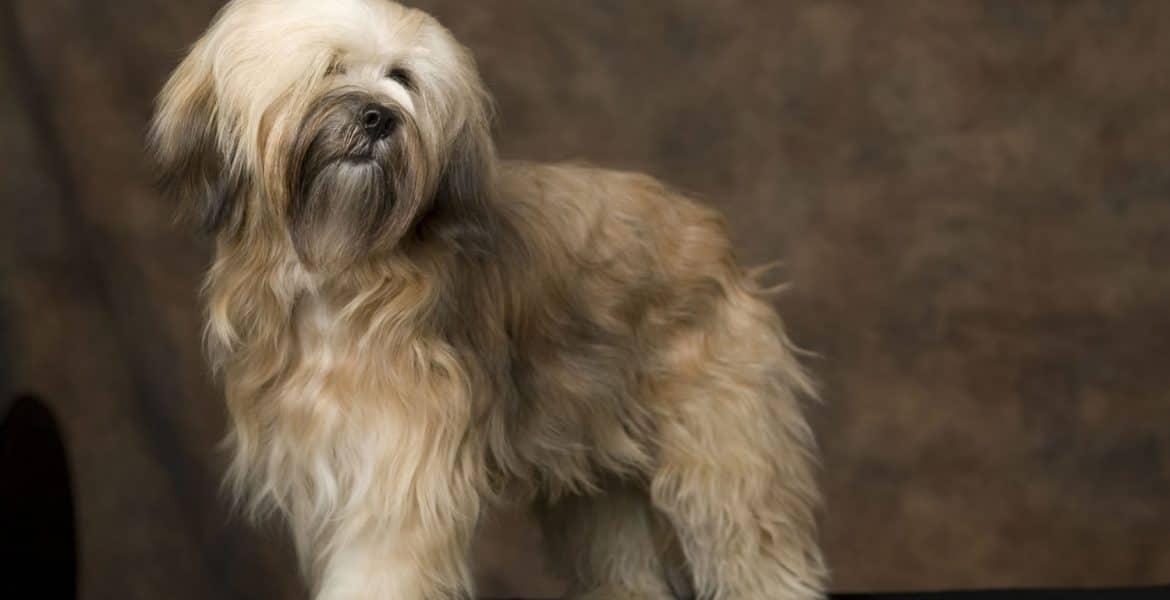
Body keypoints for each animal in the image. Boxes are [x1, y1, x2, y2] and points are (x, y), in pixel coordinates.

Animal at [150, 1, 828, 594]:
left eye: (401, 78)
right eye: (331, 67)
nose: (378, 117)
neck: (336, 273)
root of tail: (715, 237)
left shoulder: (397, 484)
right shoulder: (324, 473)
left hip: (729, 461)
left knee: (758, 560)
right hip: (597, 484)